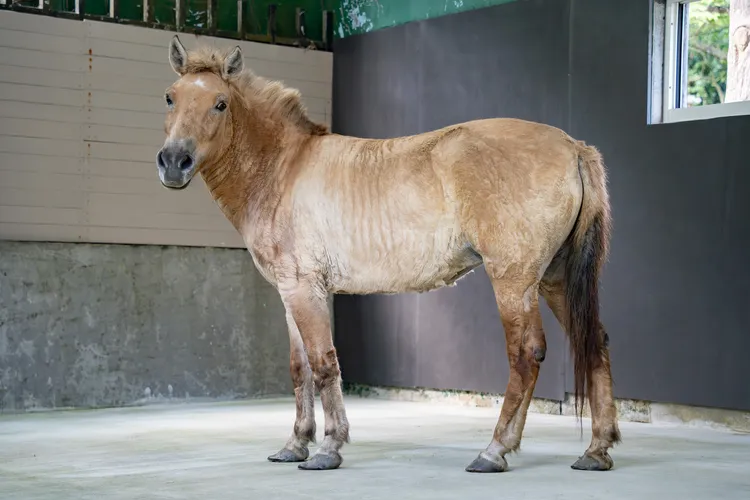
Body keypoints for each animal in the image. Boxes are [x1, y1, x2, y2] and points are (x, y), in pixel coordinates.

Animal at [155, 35, 621, 473]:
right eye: (170, 97)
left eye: (220, 104)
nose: (174, 162)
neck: (283, 169)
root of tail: (572, 146)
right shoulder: (292, 294)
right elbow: (300, 367)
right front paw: (294, 445)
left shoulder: (305, 290)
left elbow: (324, 364)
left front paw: (328, 449)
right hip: (555, 278)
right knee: (594, 341)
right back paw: (596, 450)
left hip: (514, 280)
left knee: (526, 354)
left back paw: (494, 450)